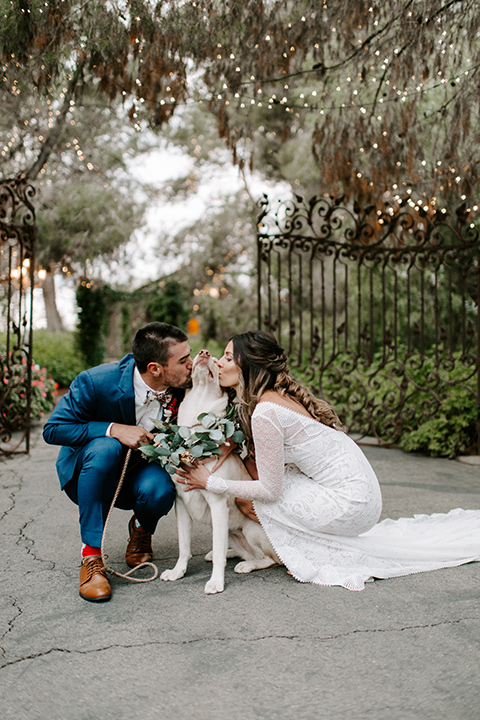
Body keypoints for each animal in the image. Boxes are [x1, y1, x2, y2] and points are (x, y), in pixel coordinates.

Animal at [161, 350, 280, 596]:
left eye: (216, 362)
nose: (204, 353)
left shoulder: (217, 505)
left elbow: (217, 553)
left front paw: (216, 582)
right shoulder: (181, 503)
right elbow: (184, 546)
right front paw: (178, 572)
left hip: (251, 531)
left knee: (268, 559)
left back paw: (247, 565)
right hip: (232, 532)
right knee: (234, 547)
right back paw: (233, 554)